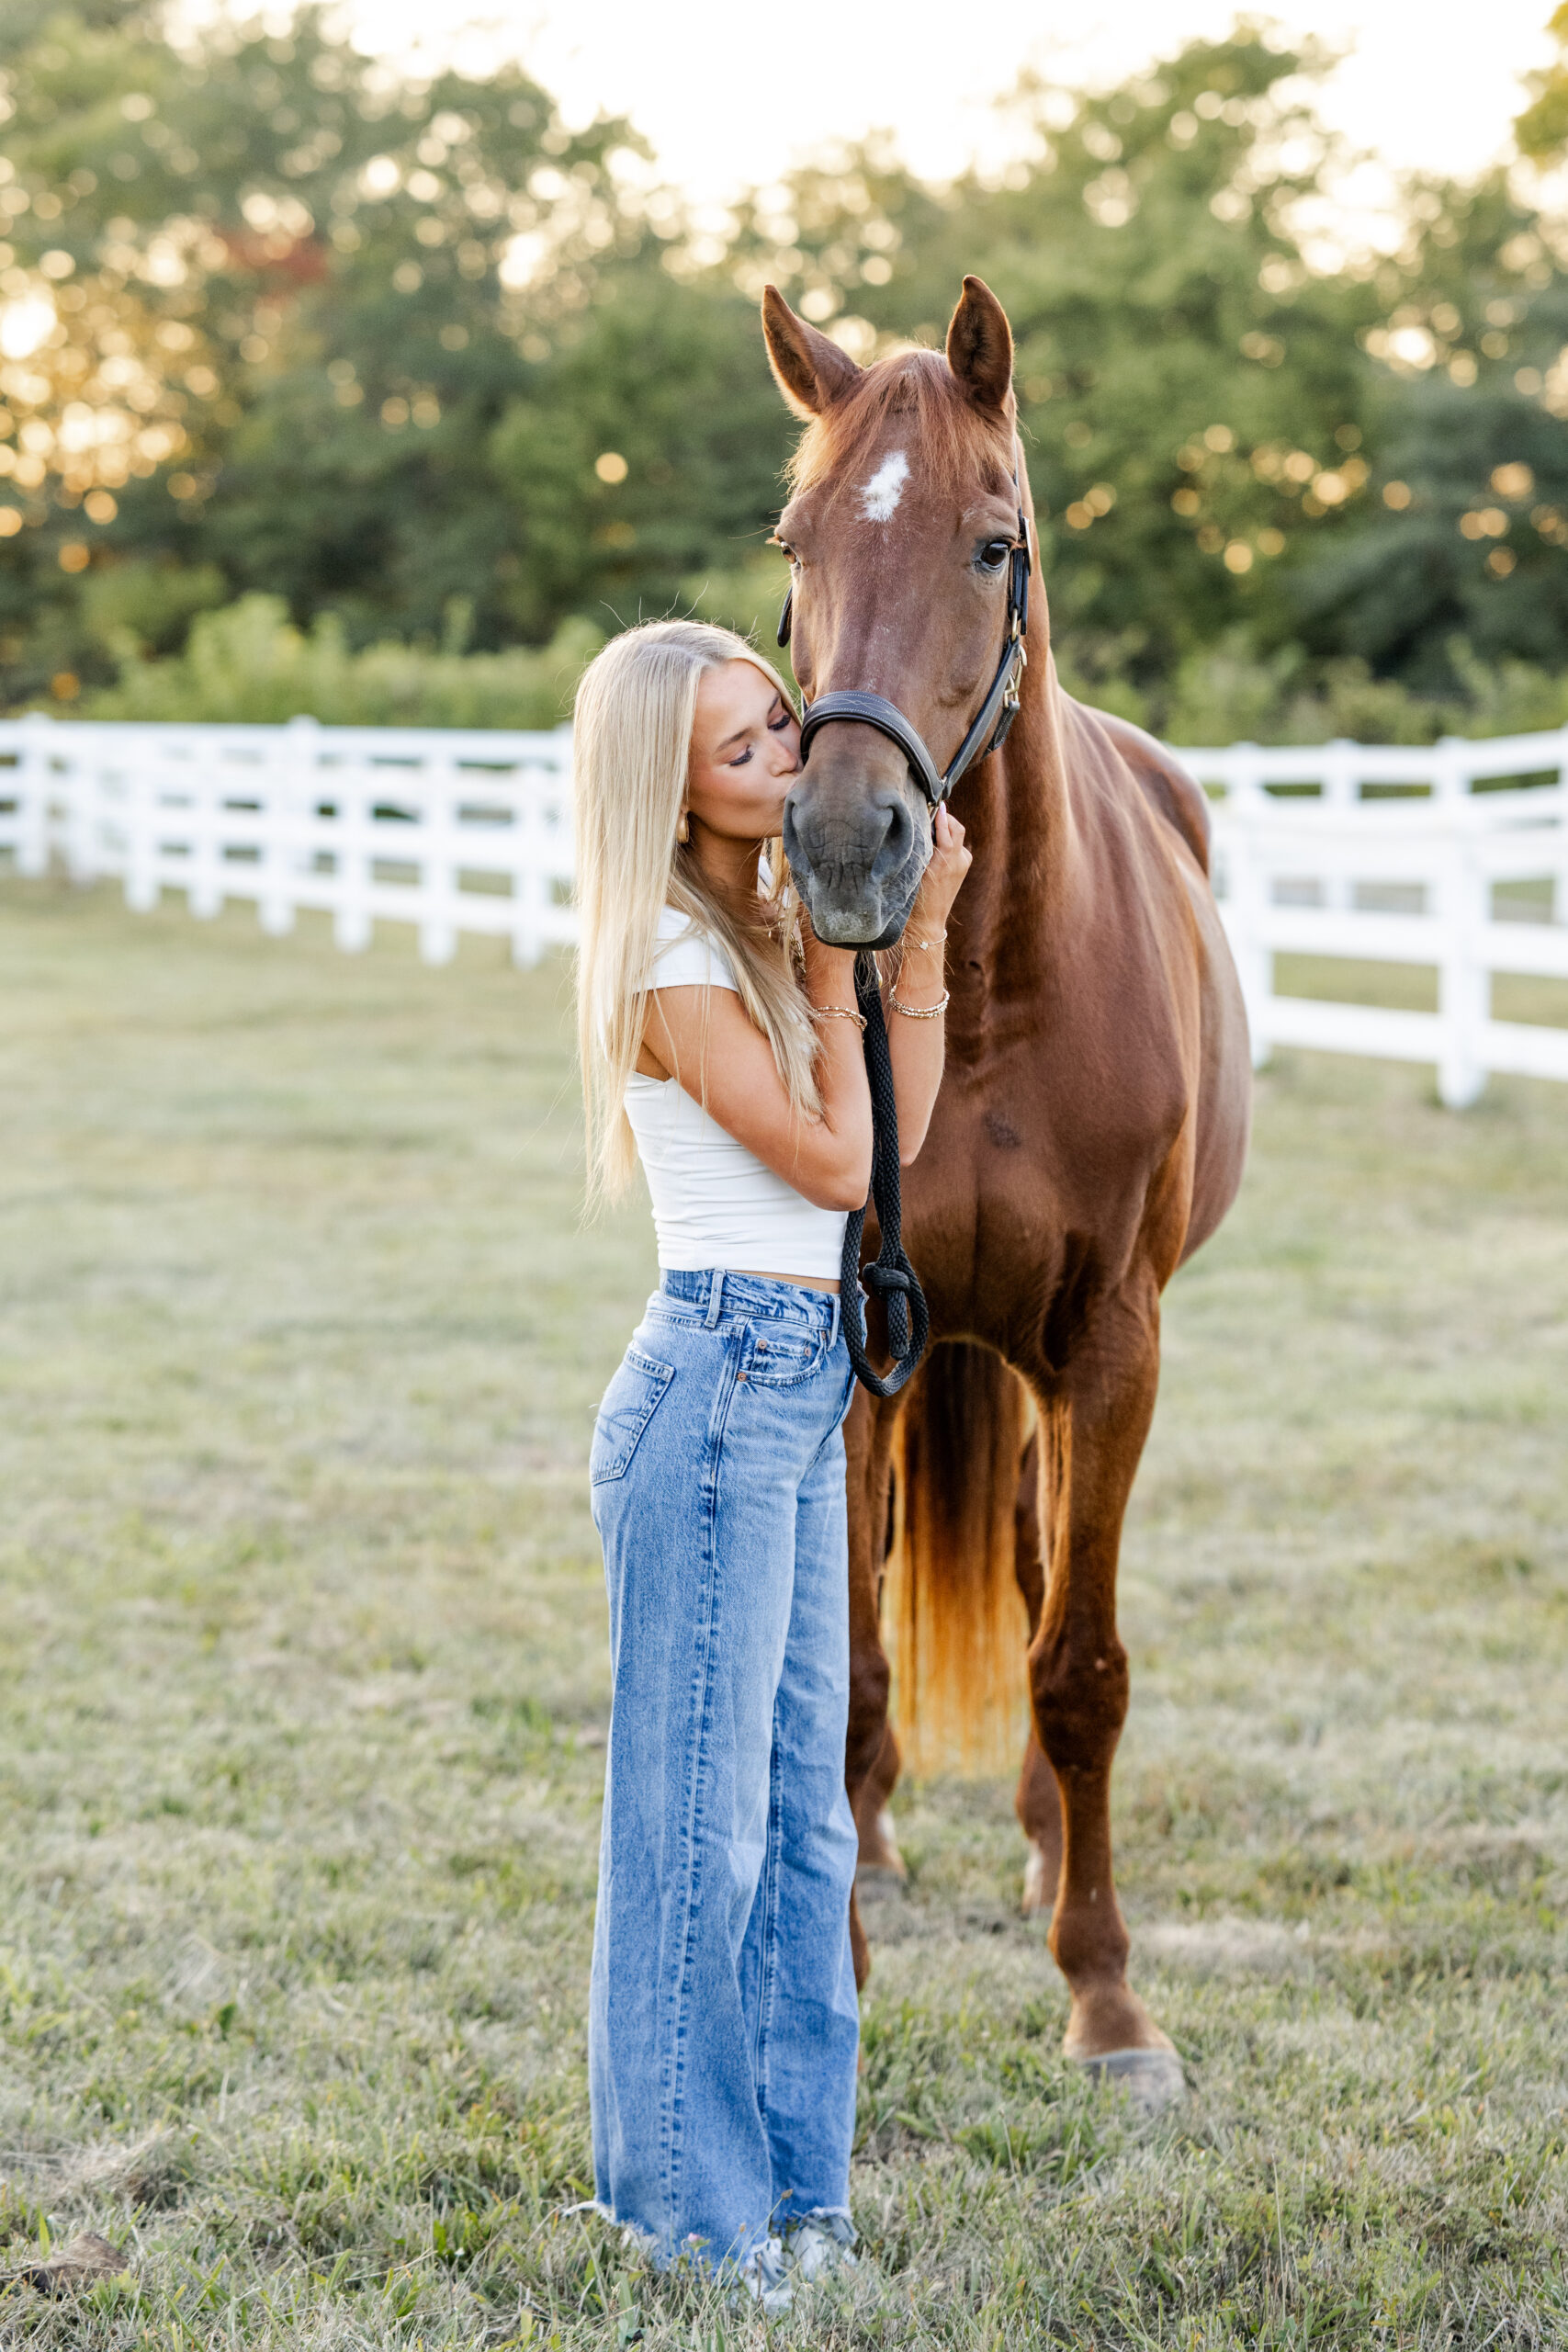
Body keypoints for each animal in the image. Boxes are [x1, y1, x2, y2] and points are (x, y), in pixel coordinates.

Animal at [764, 274, 1252, 2107]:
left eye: (990, 545)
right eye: (794, 543)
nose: (844, 842)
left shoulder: (1110, 1348)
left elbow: (1080, 1666)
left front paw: (1105, 2000)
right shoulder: (851, 1343)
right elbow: (839, 1660)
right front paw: (827, 1970)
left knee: (1047, 1577)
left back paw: (1047, 1848)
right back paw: (884, 1841)